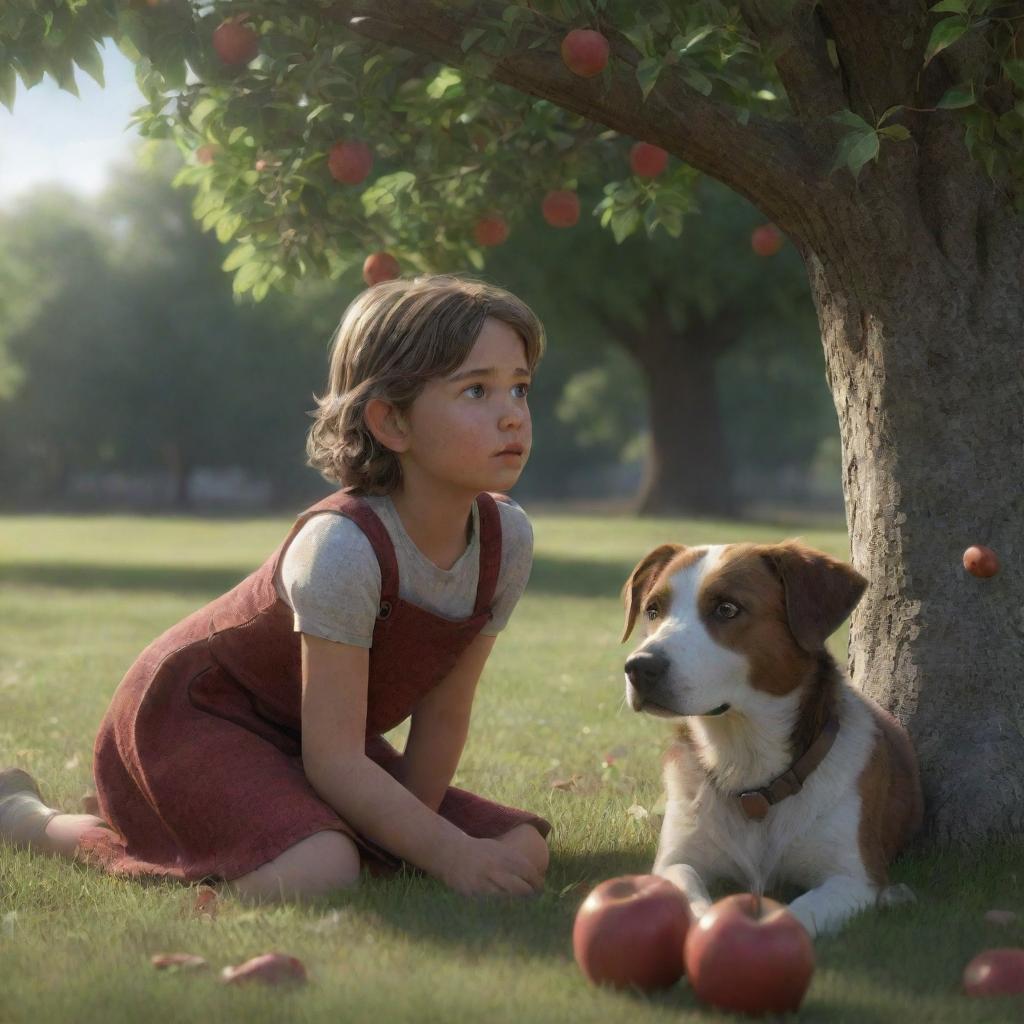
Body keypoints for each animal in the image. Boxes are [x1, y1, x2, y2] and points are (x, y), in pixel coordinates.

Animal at [618, 540, 925, 937]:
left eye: (726, 609)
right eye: (653, 610)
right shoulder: (674, 863)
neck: (746, 765)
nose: (639, 667)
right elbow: (692, 898)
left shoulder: (854, 879)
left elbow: (798, 913)